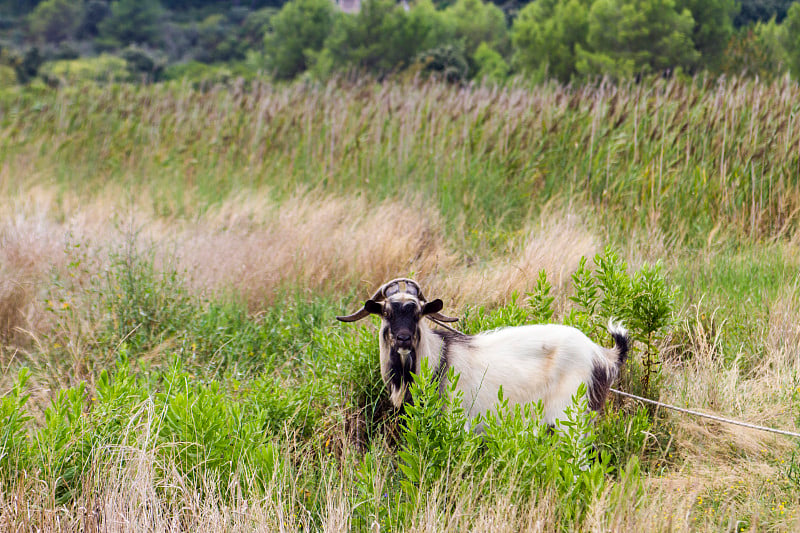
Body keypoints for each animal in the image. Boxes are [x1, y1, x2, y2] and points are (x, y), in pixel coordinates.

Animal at [334, 276, 628, 426]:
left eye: (417, 313)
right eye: (386, 312)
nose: (403, 339)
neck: (438, 360)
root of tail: (602, 355)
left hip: (571, 416)